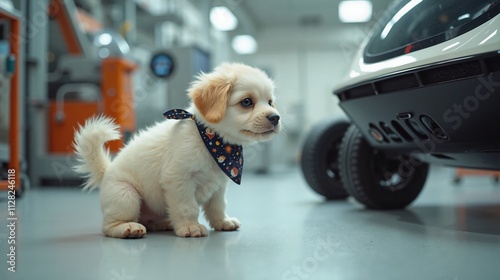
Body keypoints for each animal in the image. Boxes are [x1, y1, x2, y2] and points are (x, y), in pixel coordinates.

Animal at [73, 63, 280, 238]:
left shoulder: (219, 186)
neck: (213, 142)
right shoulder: (178, 180)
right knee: (109, 226)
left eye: (270, 102)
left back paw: (163, 223)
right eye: (247, 102)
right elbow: (187, 207)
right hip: (126, 195)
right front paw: (190, 226)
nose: (276, 117)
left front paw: (222, 222)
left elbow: (217, 206)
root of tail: (106, 172)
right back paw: (127, 228)